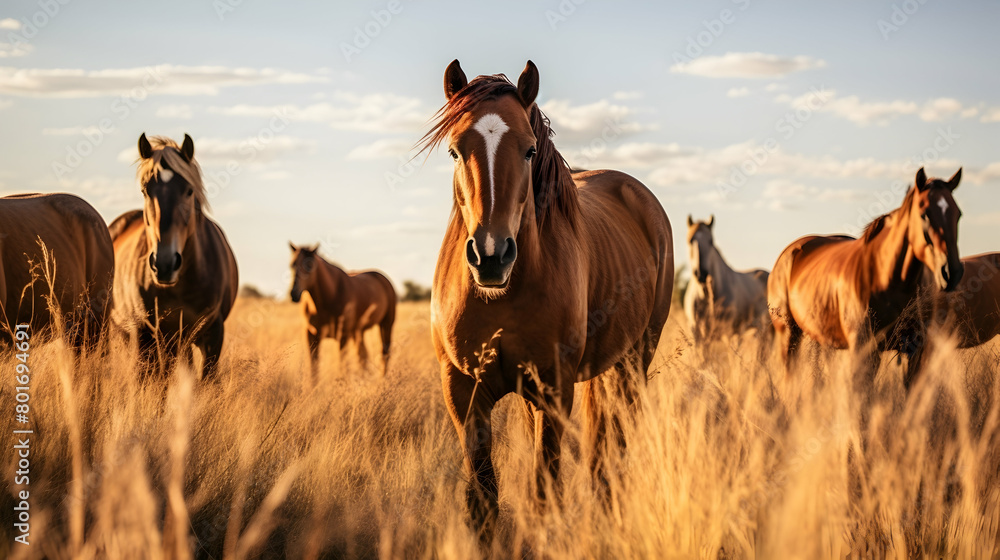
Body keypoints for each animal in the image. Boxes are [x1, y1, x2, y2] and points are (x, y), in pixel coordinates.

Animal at [287, 243, 396, 379]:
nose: (294, 293)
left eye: (310, 265)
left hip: (386, 324)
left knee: (384, 353)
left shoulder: (343, 336)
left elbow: (342, 367)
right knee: (363, 355)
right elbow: (314, 369)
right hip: (358, 331)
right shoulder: (311, 335)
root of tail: (383, 279)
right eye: (292, 264)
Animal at [422, 60, 674, 538]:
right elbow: (483, 499)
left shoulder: (554, 390)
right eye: (455, 152)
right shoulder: (462, 392)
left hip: (636, 359)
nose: (491, 255)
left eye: (529, 150)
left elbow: (545, 491)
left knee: (616, 440)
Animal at [768, 167, 963, 397]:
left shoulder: (914, 351)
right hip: (788, 336)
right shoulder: (864, 350)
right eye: (924, 214)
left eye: (958, 214)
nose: (951, 272)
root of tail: (790, 252)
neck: (887, 279)